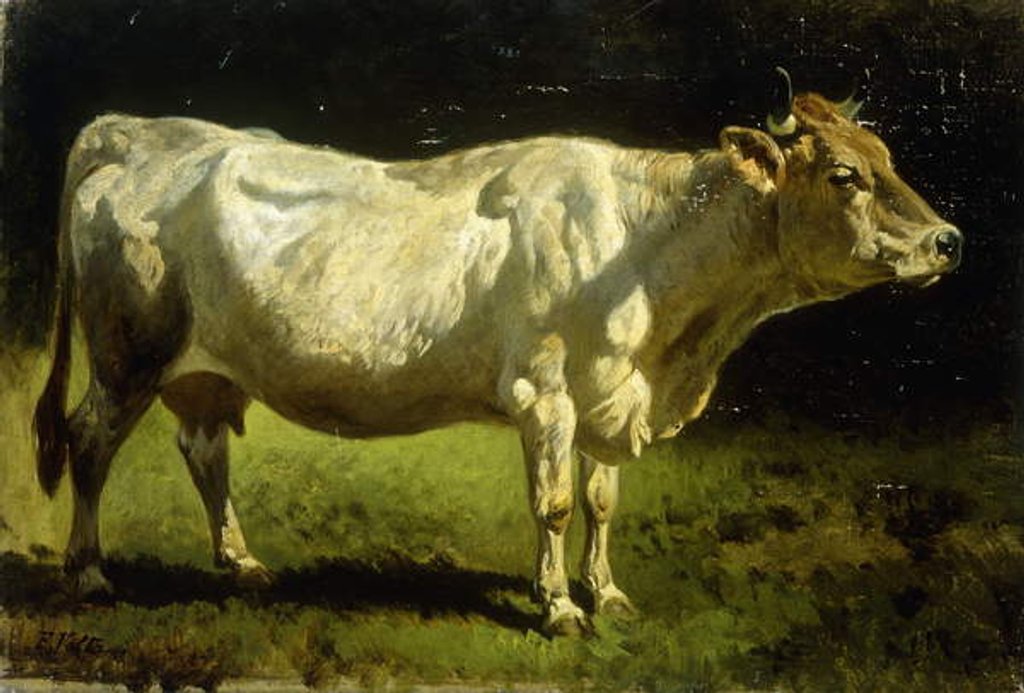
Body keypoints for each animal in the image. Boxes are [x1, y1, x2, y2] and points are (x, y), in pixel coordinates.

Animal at [34, 69, 961, 634]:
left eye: (888, 158)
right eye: (845, 175)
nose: (947, 240)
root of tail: (139, 131)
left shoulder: (607, 393)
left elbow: (601, 501)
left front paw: (608, 593)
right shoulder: (545, 391)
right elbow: (553, 503)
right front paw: (557, 608)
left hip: (199, 370)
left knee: (203, 451)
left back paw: (242, 562)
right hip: (127, 352)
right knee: (88, 439)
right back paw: (89, 574)